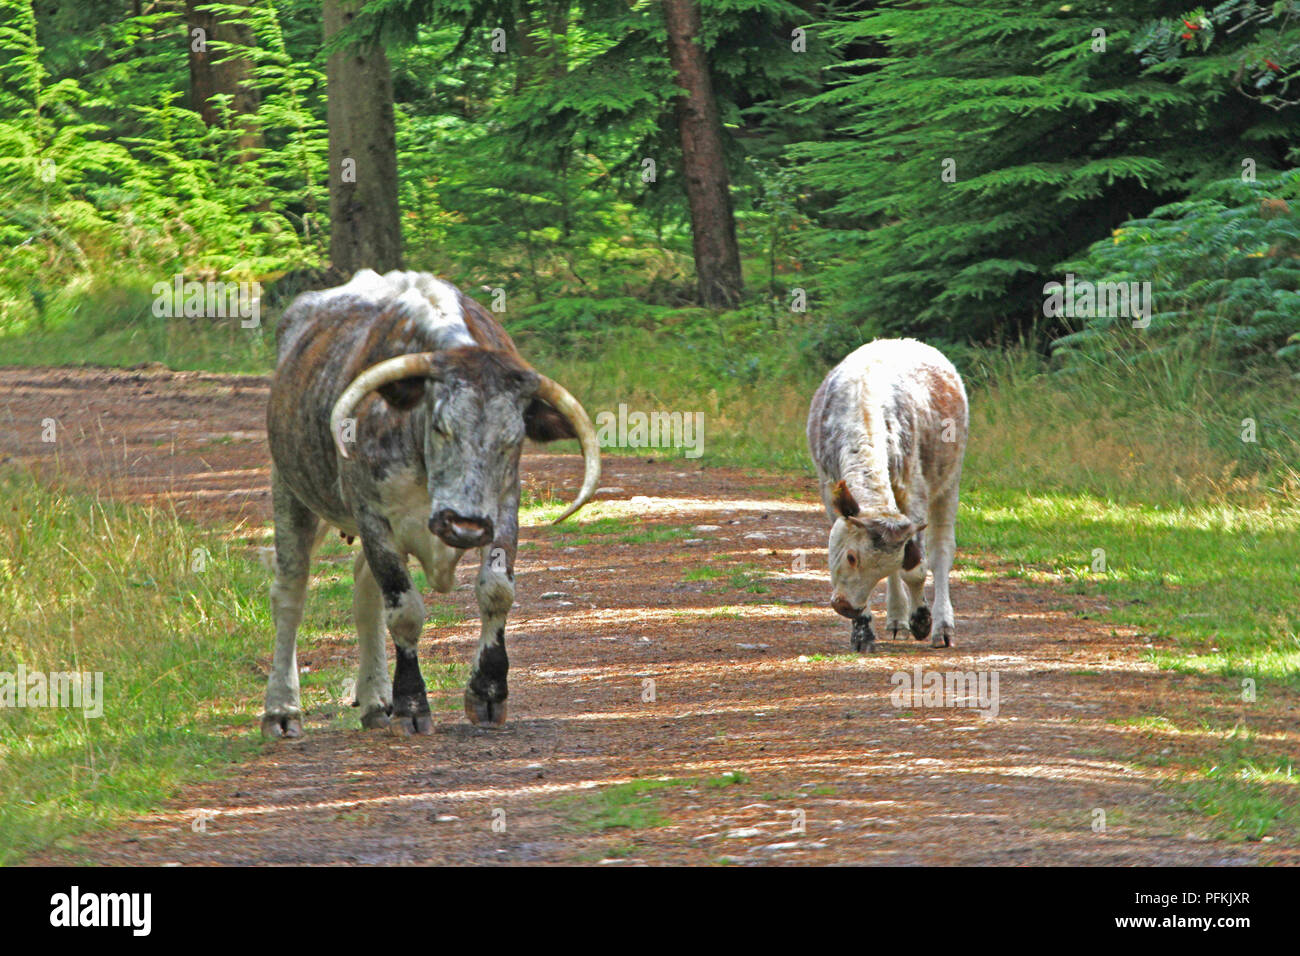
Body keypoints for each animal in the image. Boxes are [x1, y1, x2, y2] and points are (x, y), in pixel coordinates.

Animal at [261, 269, 600, 738]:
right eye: (441, 427)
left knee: (364, 594)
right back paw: (282, 710)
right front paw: (411, 704)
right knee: (290, 593)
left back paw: (374, 701)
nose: (464, 525)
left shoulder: (503, 509)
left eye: (512, 439)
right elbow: (404, 611)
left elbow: (497, 591)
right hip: (291, 491)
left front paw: (488, 692)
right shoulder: (373, 516)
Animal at [806, 338, 968, 653]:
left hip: (949, 481)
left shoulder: (914, 492)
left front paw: (922, 620)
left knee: (941, 552)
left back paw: (942, 626)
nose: (846, 607)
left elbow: (915, 568)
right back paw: (896, 620)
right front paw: (862, 634)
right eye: (851, 556)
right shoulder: (831, 492)